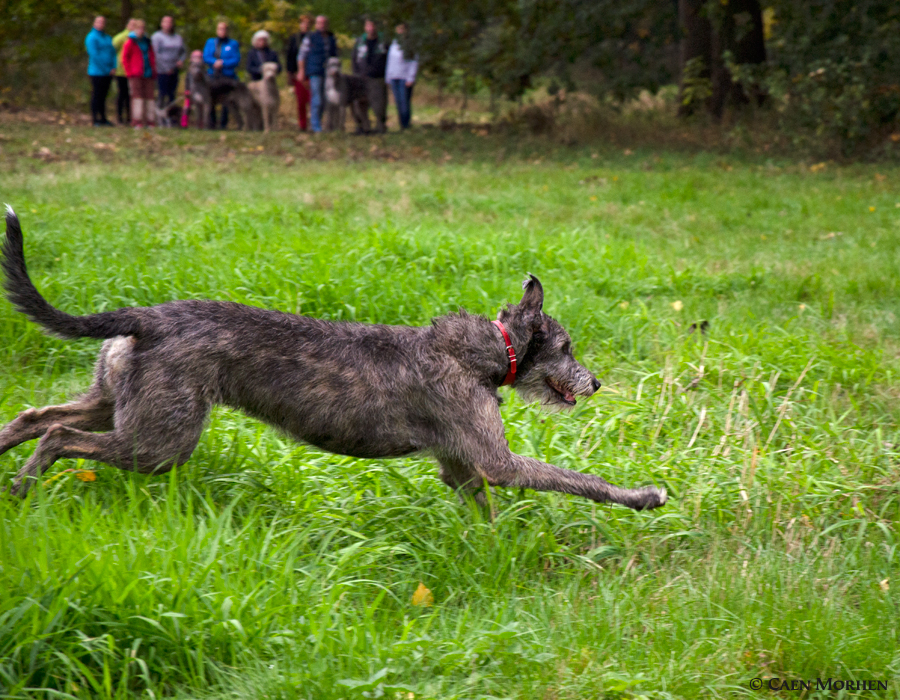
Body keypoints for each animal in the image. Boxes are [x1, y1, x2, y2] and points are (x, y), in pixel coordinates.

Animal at [1, 208, 668, 508]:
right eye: (566, 347)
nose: (596, 383)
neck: (483, 352)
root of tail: (146, 317)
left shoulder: (461, 467)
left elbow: (483, 507)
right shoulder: (493, 460)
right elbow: (574, 479)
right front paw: (642, 496)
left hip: (114, 398)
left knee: (36, 417)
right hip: (161, 439)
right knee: (59, 435)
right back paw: (24, 486)